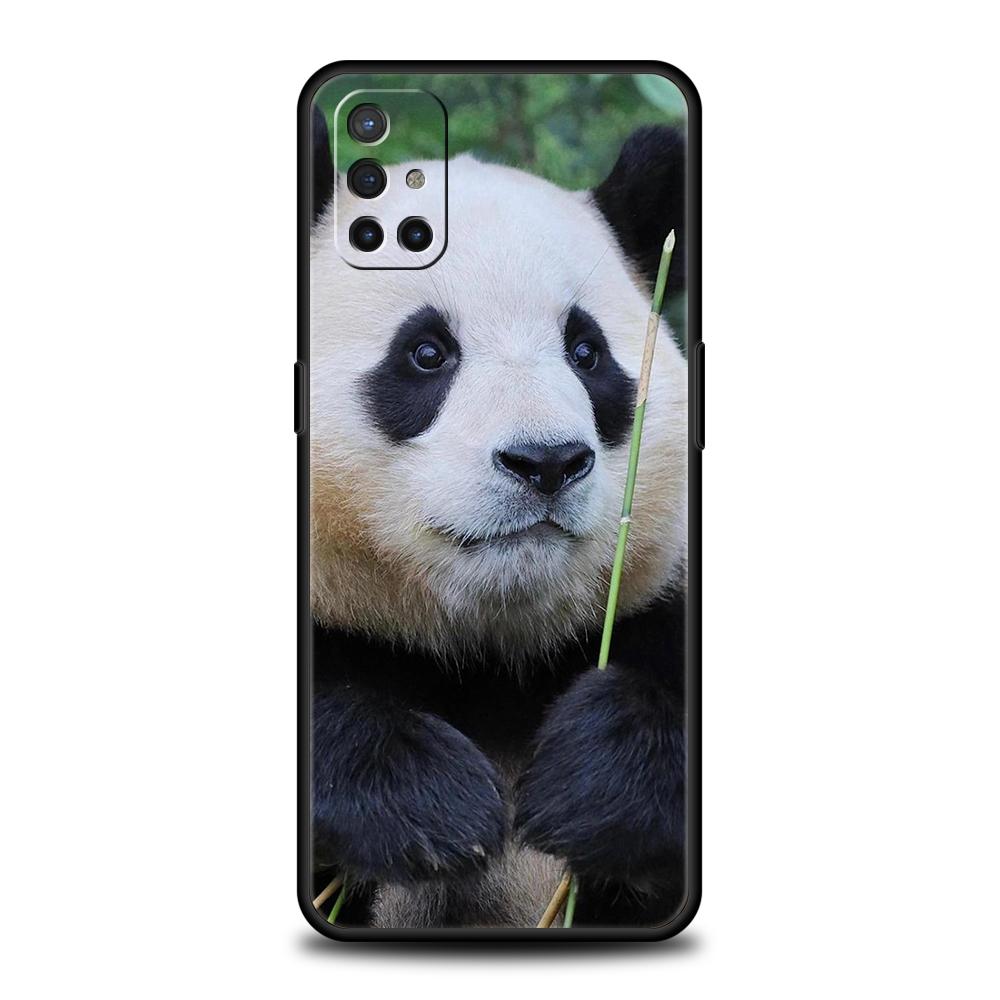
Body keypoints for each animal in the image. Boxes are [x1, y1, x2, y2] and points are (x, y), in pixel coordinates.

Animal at [309, 106, 690, 929]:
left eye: (586, 353)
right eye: (427, 353)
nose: (545, 462)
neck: (488, 657)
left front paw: (592, 782)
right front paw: (433, 809)